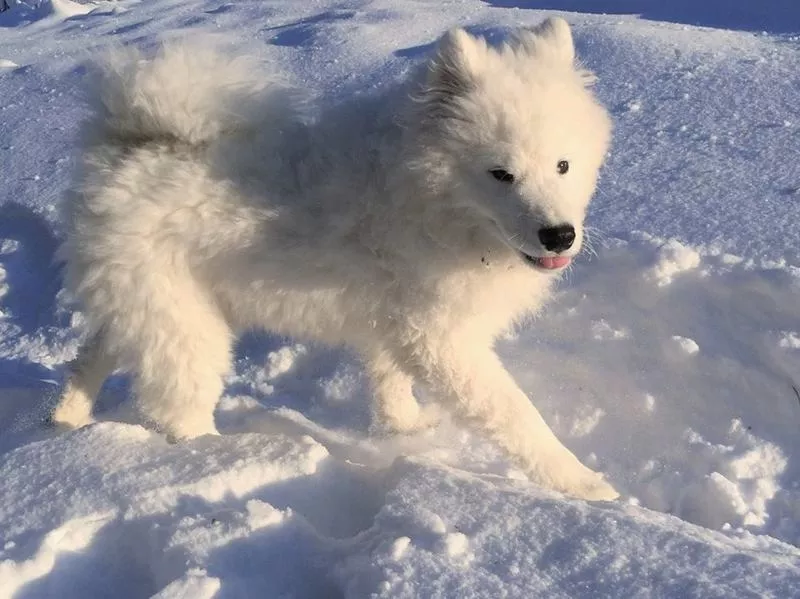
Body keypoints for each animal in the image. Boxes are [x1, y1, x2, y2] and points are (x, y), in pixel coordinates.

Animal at [54, 16, 620, 500]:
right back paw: (224, 458)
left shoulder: (397, 325)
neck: (424, 196)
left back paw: (63, 423)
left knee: (93, 353)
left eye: (563, 165)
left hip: (144, 307)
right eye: (501, 174)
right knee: (179, 411)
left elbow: (391, 383)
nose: (559, 236)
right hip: (186, 330)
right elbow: (517, 415)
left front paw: (403, 428)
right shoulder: (442, 339)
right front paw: (585, 486)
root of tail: (126, 148)